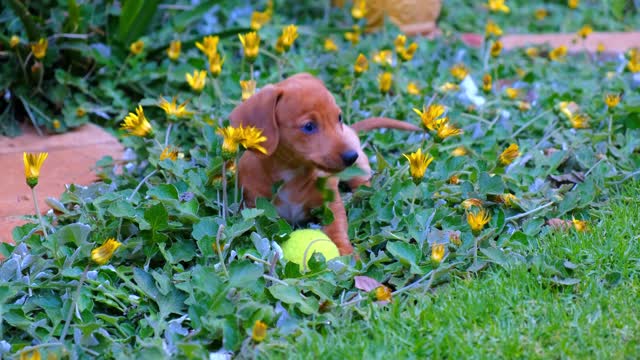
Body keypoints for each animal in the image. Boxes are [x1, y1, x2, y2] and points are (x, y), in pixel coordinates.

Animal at [230, 71, 420, 255]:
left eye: (339, 117)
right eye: (309, 126)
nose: (351, 156)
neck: (292, 174)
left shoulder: (331, 205)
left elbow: (337, 227)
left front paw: (345, 252)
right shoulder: (254, 207)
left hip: (360, 168)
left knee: (363, 184)